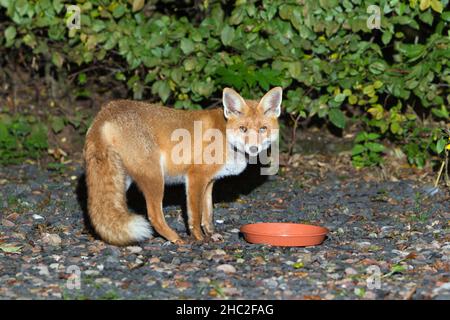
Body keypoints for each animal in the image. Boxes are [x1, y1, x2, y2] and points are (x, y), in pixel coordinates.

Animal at [83, 86, 282, 244]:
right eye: (243, 129)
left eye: (263, 129)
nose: (254, 148)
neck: (225, 135)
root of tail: (106, 111)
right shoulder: (195, 177)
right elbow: (195, 215)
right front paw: (200, 238)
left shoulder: (209, 182)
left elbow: (208, 214)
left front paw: (211, 234)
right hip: (155, 178)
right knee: (154, 216)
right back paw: (175, 238)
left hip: (122, 181)